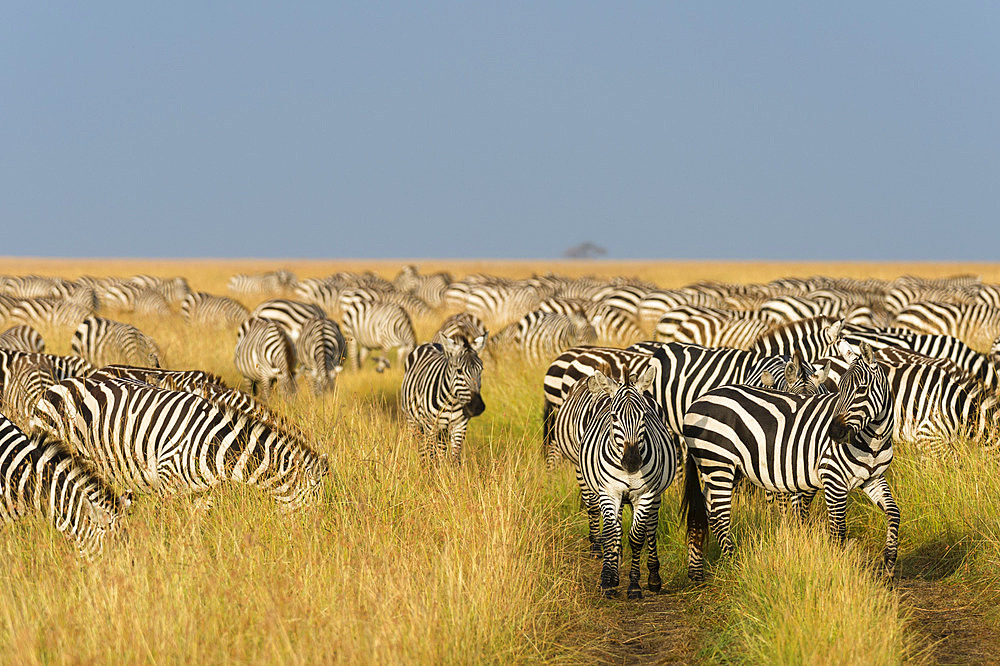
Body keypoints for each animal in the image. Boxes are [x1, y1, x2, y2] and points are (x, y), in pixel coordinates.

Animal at [30, 374, 328, 508]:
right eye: (313, 500)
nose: (312, 535)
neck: (219, 446)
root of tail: (55, 386)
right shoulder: (166, 479)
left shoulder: (205, 492)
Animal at [580, 368, 680, 596]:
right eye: (614, 416)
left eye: (643, 416)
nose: (632, 462)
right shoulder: (609, 492)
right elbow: (610, 534)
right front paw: (607, 580)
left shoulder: (645, 494)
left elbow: (637, 537)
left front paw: (634, 585)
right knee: (617, 529)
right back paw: (614, 574)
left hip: (655, 496)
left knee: (650, 528)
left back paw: (653, 577)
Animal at [680, 340, 900, 580]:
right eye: (840, 389)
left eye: (861, 389)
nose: (833, 433)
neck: (874, 441)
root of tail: (697, 403)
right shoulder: (833, 480)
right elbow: (838, 530)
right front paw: (839, 570)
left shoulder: (873, 478)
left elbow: (894, 513)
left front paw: (889, 567)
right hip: (718, 463)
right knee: (719, 516)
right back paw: (735, 564)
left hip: (726, 468)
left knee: (703, 508)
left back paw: (695, 571)